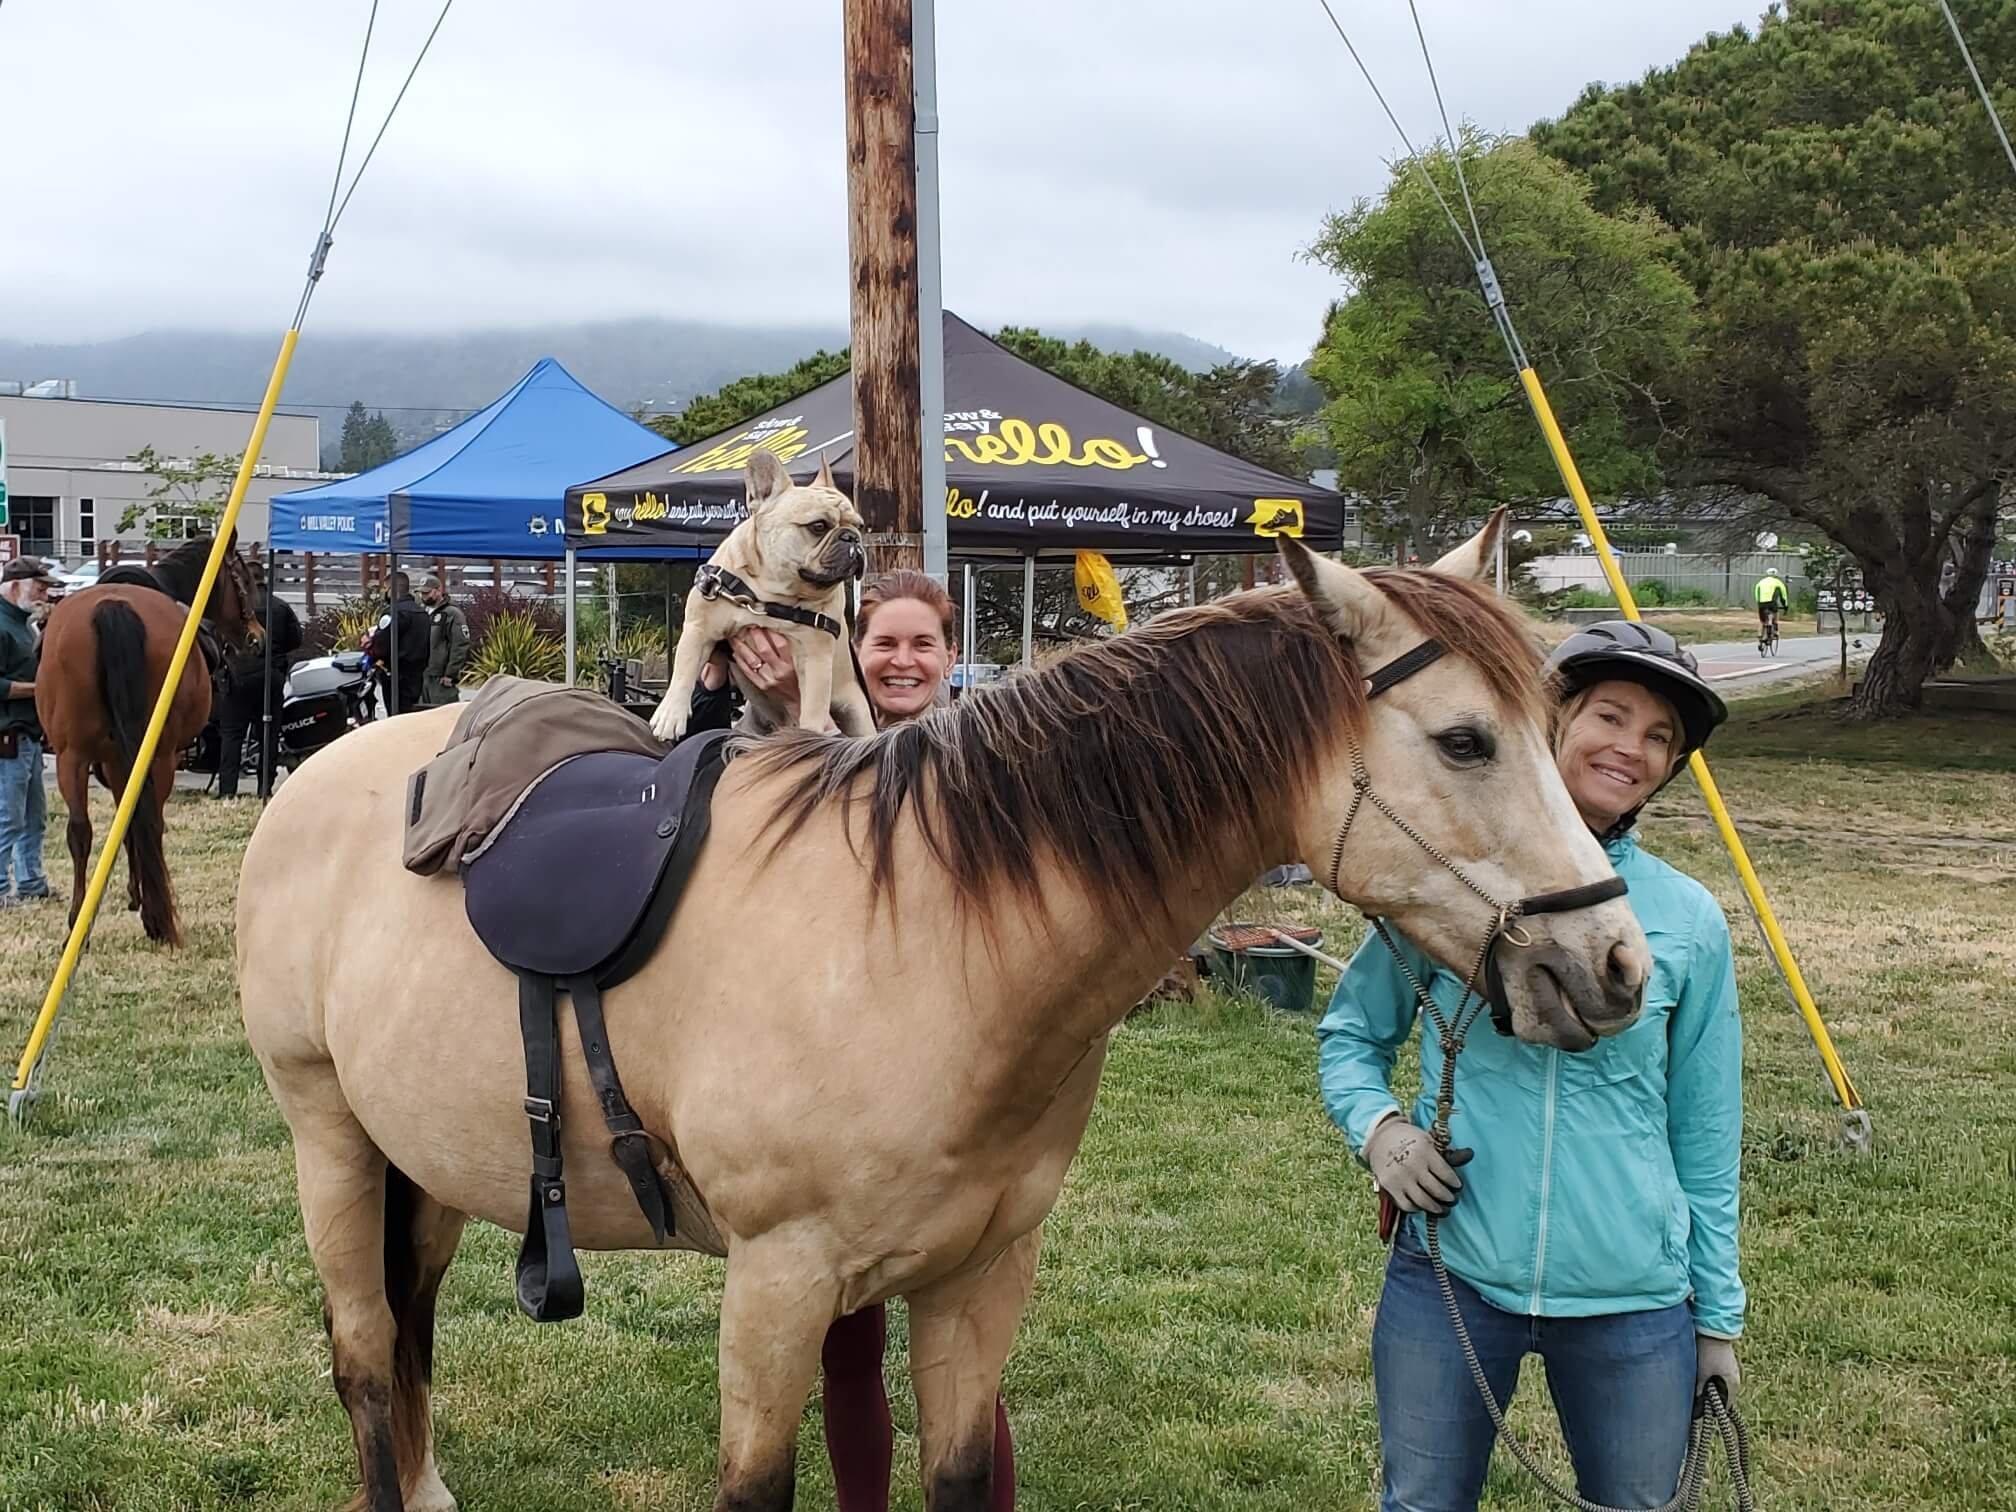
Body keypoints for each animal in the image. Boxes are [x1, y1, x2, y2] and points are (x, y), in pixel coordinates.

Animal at [36, 535, 261, 945]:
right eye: (246, 580)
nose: (257, 638)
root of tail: (113, 608)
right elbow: (136, 822)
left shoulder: (113, 760)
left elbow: (125, 822)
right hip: (160, 755)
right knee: (151, 824)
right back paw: (158, 920)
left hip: (71, 756)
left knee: (80, 831)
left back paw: (79, 924)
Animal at [237, 519, 1652, 1512]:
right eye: (1466, 741)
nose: (1616, 967)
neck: (926, 933)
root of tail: (323, 772)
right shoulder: (776, 1289)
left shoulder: (980, 1280)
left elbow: (963, 1474)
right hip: (331, 1146)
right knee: (366, 1355)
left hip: (428, 1164)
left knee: (407, 1335)